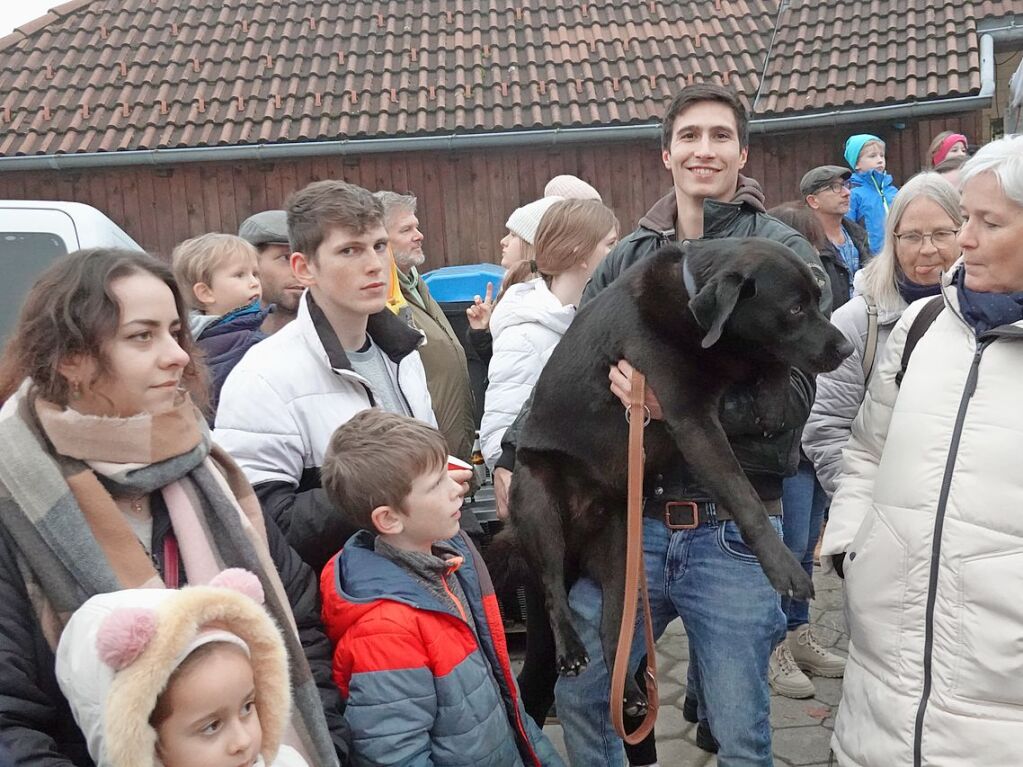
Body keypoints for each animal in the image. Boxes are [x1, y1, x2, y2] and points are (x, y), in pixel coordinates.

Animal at [507, 239, 851, 715]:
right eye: (796, 308)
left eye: (819, 300)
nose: (847, 348)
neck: (694, 315)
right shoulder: (693, 423)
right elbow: (744, 496)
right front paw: (784, 568)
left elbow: (772, 366)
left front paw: (769, 394)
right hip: (539, 503)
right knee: (553, 590)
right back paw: (572, 650)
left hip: (622, 558)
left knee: (613, 634)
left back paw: (630, 695)